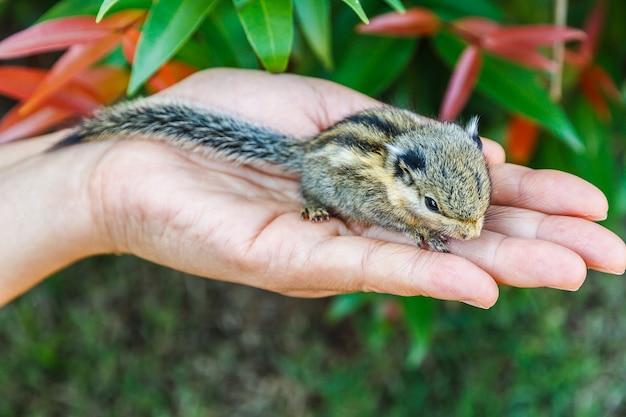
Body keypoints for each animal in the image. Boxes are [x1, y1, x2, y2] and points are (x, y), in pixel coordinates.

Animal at [52, 98, 488, 252]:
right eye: (431, 203)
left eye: (484, 188)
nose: (473, 234)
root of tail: (306, 150)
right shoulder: (375, 202)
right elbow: (397, 221)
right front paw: (425, 232)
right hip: (319, 184)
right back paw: (314, 207)